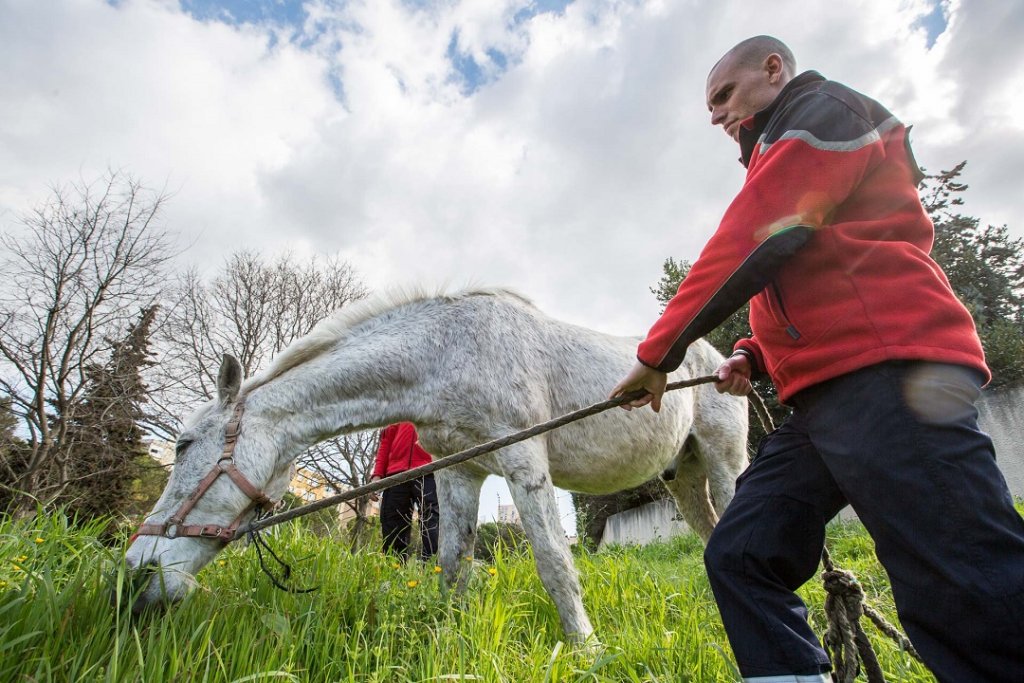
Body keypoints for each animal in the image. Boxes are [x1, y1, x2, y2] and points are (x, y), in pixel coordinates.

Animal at [125, 286, 753, 643]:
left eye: (183, 444)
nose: (136, 573)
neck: (448, 352)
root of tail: (720, 357)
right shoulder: (457, 471)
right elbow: (453, 567)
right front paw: (450, 642)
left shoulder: (524, 461)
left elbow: (555, 563)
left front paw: (587, 649)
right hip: (684, 480)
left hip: (726, 463)